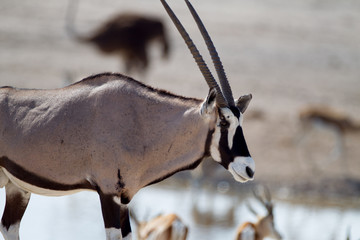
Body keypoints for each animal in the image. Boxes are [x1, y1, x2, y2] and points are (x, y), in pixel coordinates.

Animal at [0, 0, 255, 239]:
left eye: (240, 122)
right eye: (223, 122)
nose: (249, 169)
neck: (140, 122)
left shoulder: (124, 199)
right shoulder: (108, 194)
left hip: (17, 187)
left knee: (9, 227)